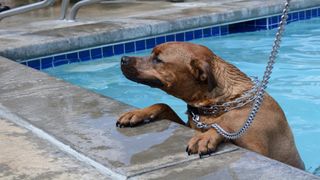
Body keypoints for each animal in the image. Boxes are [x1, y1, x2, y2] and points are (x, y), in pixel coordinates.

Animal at [117, 41, 304, 169]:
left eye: (158, 59)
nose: (123, 58)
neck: (221, 104)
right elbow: (164, 105)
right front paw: (139, 113)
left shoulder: (257, 150)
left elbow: (224, 126)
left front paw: (206, 136)